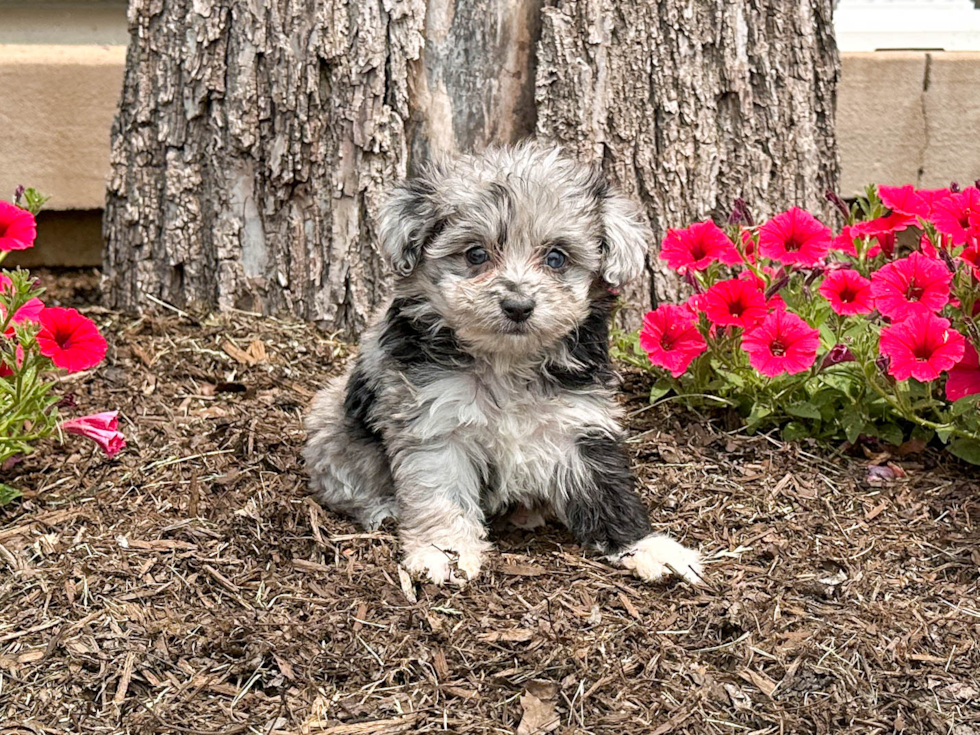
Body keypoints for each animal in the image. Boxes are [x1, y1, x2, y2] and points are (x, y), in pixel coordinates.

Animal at [302, 142, 700, 588]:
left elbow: (607, 488)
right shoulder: (435, 423)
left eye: (556, 258)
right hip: (332, 425)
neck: (507, 360)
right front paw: (444, 550)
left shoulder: (579, 421)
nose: (518, 305)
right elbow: (439, 491)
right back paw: (381, 508)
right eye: (476, 254)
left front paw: (648, 547)